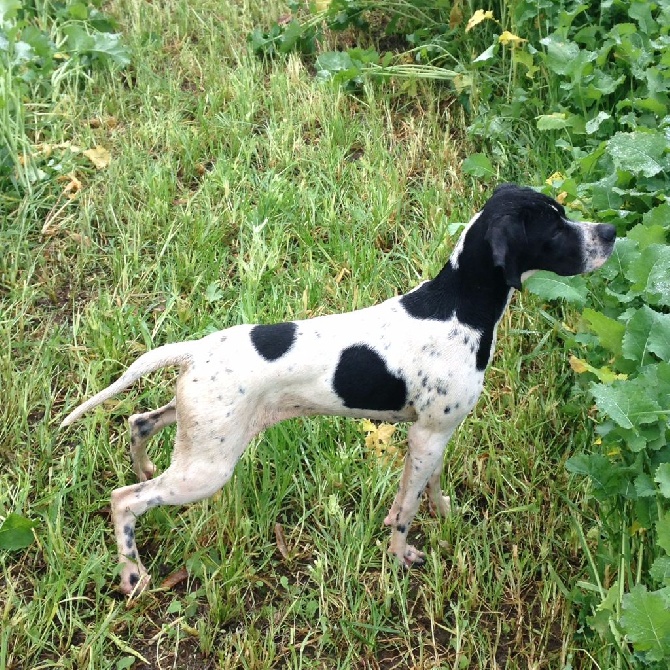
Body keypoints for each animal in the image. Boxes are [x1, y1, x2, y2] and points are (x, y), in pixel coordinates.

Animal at [60, 182, 616, 592]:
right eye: (554, 227)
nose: (610, 231)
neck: (458, 306)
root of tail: (196, 349)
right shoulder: (427, 436)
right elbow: (405, 510)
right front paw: (400, 557)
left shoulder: (435, 437)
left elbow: (424, 490)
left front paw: (446, 517)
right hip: (207, 469)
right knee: (125, 500)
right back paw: (132, 573)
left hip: (198, 428)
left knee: (140, 423)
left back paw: (144, 470)